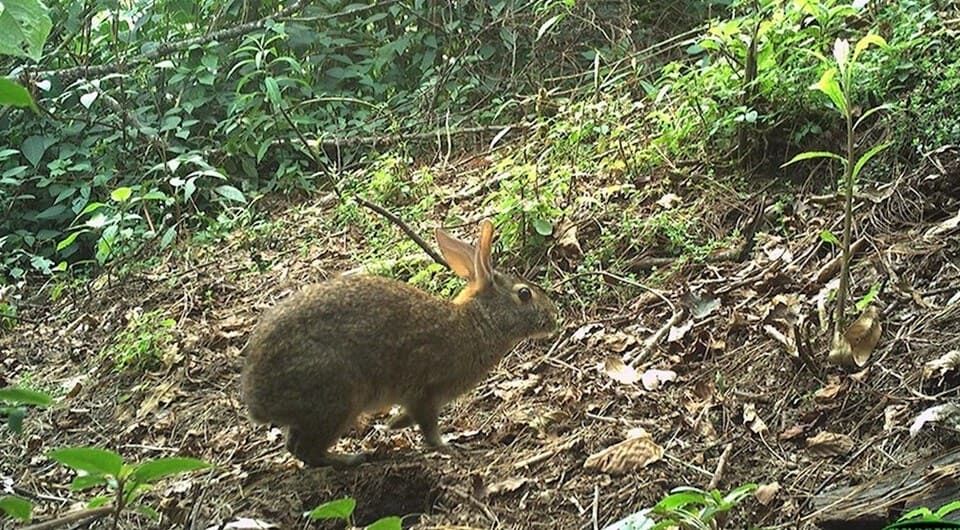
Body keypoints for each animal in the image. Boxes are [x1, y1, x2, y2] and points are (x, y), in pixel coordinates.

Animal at [240, 219, 560, 466]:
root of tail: (257, 400)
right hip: (339, 397)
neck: (478, 322)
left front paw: (392, 424)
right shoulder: (427, 392)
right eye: (524, 294)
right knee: (305, 449)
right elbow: (429, 427)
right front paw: (448, 445)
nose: (553, 317)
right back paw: (351, 459)